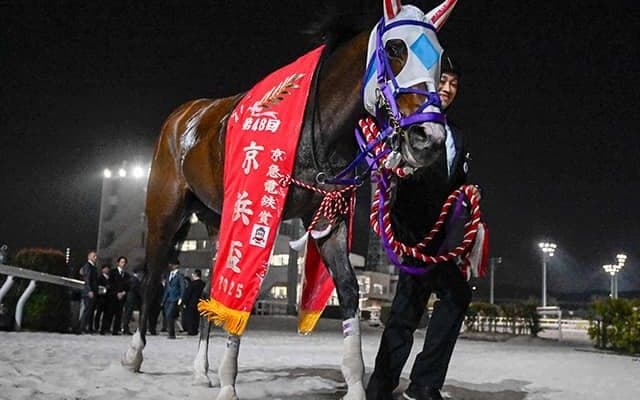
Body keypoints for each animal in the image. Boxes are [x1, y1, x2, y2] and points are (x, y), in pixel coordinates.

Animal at [122, 1, 461, 399]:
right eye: (395, 49)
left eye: (439, 57)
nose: (429, 138)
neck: (317, 127)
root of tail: (184, 117)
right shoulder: (257, 209)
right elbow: (245, 289)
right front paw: (229, 384)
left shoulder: (329, 218)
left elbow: (348, 291)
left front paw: (355, 385)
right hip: (165, 211)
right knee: (152, 279)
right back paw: (134, 354)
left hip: (217, 219)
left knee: (209, 286)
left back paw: (201, 371)